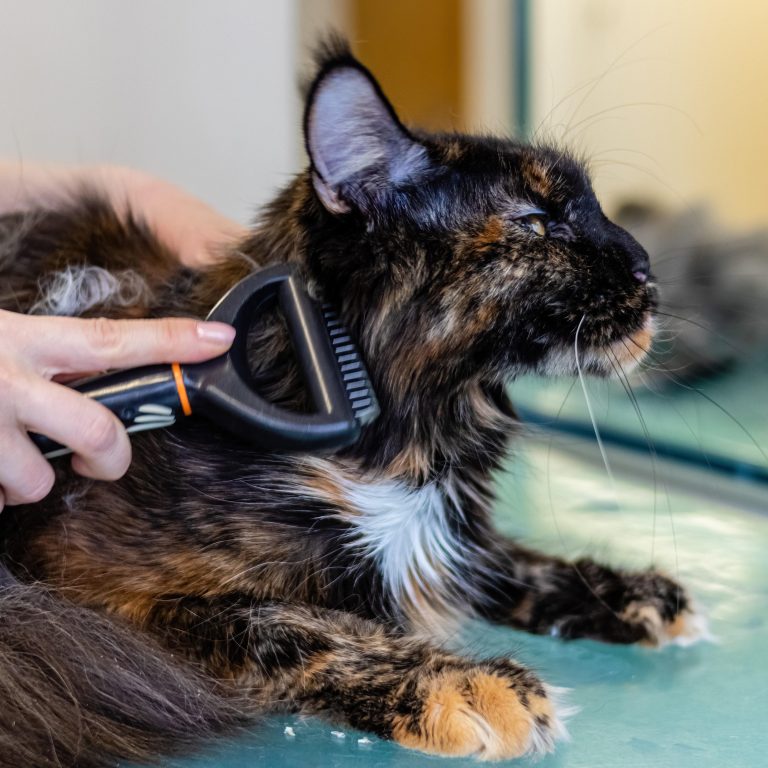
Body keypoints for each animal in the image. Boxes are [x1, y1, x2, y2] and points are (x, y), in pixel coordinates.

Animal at [1, 43, 708, 768]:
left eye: (596, 211)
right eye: (538, 225)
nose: (646, 266)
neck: (413, 440)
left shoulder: (449, 533)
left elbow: (508, 560)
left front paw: (626, 591)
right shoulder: (93, 585)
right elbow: (294, 623)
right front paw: (464, 683)